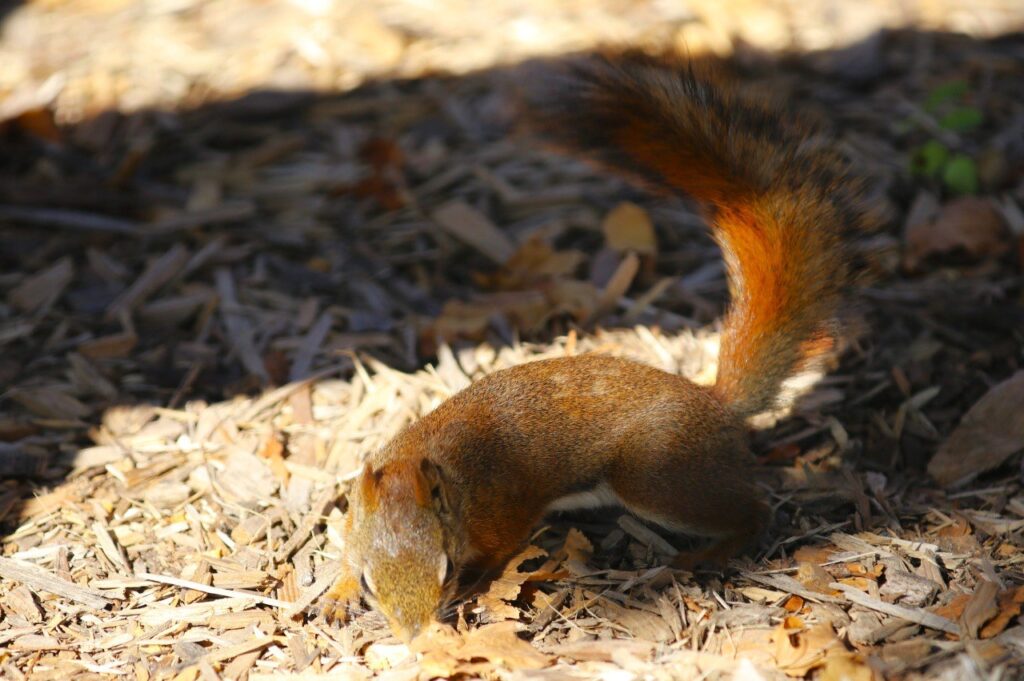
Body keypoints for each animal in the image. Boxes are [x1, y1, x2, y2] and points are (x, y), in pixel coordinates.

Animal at [315, 53, 864, 642]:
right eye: (371, 582)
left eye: (445, 568)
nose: (413, 636)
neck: (437, 470)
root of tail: (715, 406)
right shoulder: (358, 516)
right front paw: (337, 593)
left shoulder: (503, 516)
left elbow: (501, 553)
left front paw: (472, 590)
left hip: (656, 476)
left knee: (754, 513)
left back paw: (708, 554)